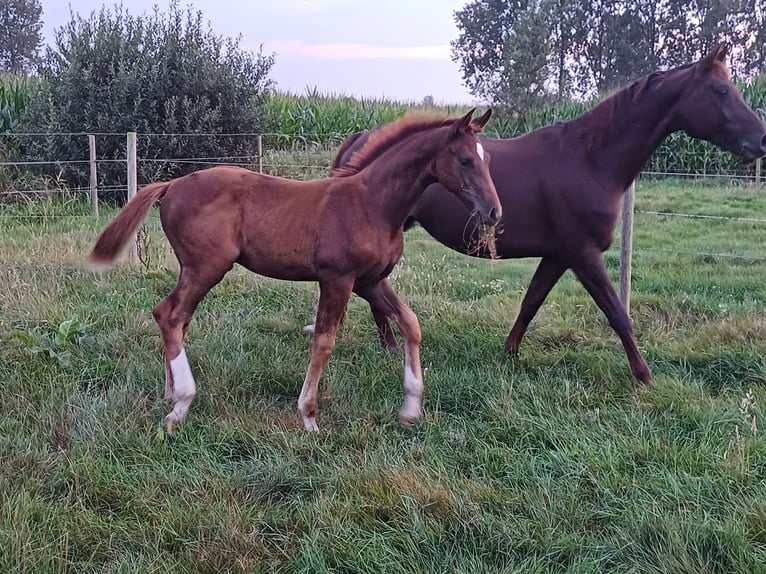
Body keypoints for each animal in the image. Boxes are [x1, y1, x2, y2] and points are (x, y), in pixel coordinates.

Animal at [88, 108, 504, 434]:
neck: (371, 204)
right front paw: (308, 415)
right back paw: (182, 404)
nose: (494, 212)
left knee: (171, 315)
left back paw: (170, 392)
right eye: (465, 160)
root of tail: (173, 183)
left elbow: (411, 324)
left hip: (194, 268)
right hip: (206, 266)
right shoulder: (337, 279)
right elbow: (323, 341)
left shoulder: (370, 281)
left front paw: (411, 408)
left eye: (487, 160)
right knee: (172, 315)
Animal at [332, 46, 766, 388]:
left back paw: (389, 345)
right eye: (721, 90)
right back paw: (390, 345)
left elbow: (531, 302)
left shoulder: (558, 255)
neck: (589, 160)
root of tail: (359, 140)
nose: (761, 140)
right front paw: (644, 377)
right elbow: (617, 314)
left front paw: (509, 354)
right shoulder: (583, 254)